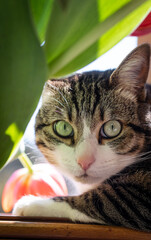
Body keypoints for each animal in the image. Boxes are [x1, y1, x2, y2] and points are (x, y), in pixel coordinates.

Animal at [12, 44, 151, 232]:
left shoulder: (140, 196)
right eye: (63, 128)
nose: (84, 162)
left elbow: (102, 198)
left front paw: (31, 203)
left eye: (112, 128)